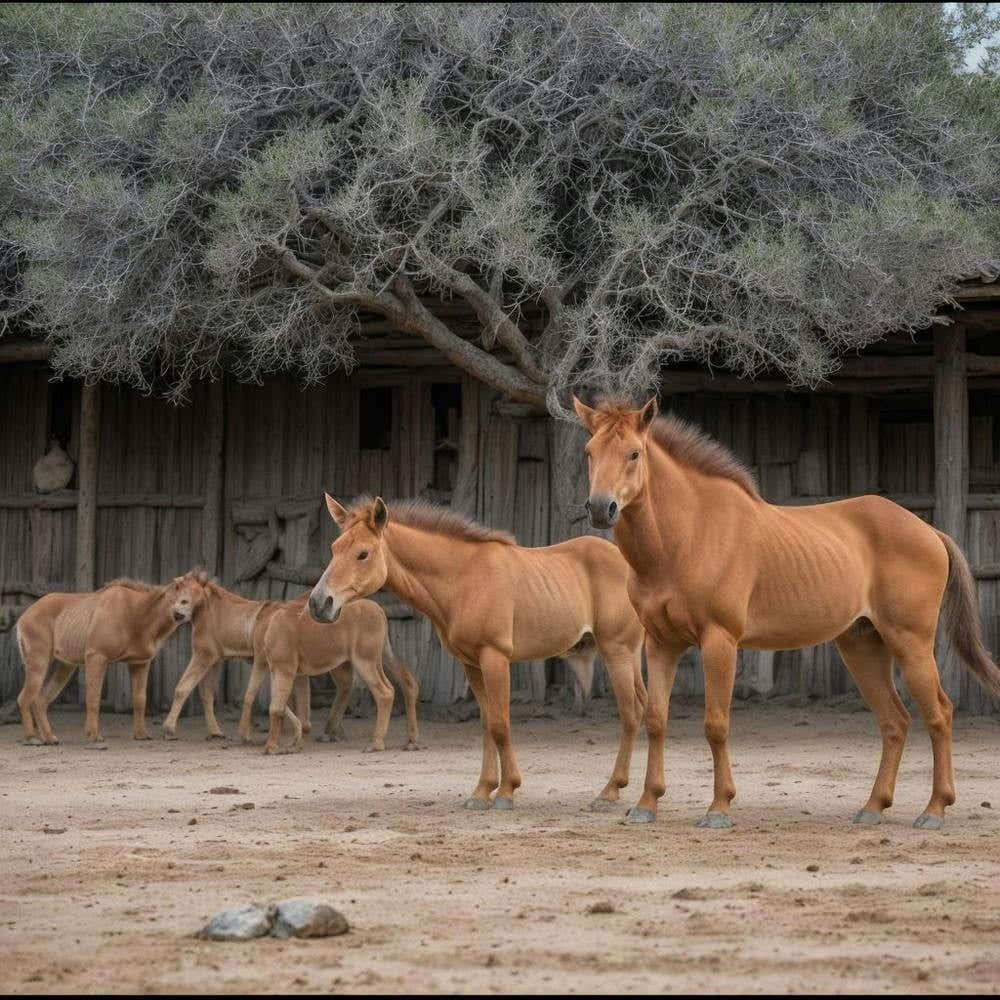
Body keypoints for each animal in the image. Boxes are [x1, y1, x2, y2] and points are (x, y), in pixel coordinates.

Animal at [15, 571, 210, 746]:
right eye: (184, 598)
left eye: (200, 603)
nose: (180, 616)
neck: (135, 612)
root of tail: (23, 618)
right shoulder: (97, 657)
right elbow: (93, 698)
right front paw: (94, 737)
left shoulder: (140, 663)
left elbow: (140, 699)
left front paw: (141, 735)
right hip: (39, 661)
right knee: (25, 697)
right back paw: (31, 738)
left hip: (64, 666)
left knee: (40, 700)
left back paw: (50, 738)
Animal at [248, 597, 420, 755]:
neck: (268, 623)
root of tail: (378, 610)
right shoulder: (286, 672)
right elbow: (285, 706)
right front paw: (294, 742)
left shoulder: (284, 669)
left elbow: (276, 708)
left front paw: (271, 747)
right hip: (383, 655)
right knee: (408, 683)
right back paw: (411, 742)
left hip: (365, 661)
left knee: (385, 692)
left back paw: (376, 743)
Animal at [308, 494, 646, 812]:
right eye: (334, 548)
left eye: (363, 553)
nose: (319, 603)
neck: (463, 578)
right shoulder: (471, 664)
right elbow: (486, 723)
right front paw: (483, 791)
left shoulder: (494, 658)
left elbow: (500, 723)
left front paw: (507, 791)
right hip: (628, 655)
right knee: (644, 708)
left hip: (616, 652)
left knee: (630, 715)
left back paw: (609, 792)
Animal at [574, 395, 1000, 830]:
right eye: (589, 452)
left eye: (634, 453)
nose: (601, 508)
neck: (689, 535)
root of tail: (930, 531)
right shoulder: (662, 644)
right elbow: (656, 719)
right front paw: (646, 804)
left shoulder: (719, 641)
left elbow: (716, 723)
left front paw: (719, 808)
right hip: (862, 646)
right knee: (895, 721)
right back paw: (873, 807)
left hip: (910, 644)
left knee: (940, 714)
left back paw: (934, 810)